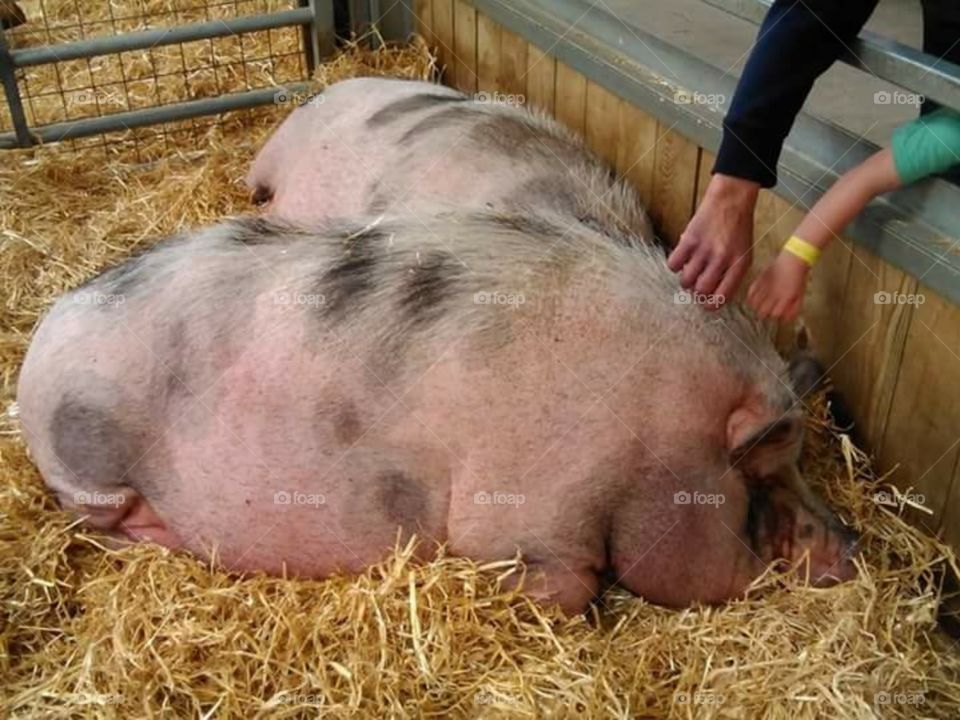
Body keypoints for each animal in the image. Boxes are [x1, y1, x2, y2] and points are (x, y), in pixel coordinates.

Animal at [16, 80, 857, 615]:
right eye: (765, 475)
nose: (851, 549)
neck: (654, 435)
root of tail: (38, 344)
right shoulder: (518, 519)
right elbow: (564, 588)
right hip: (91, 469)